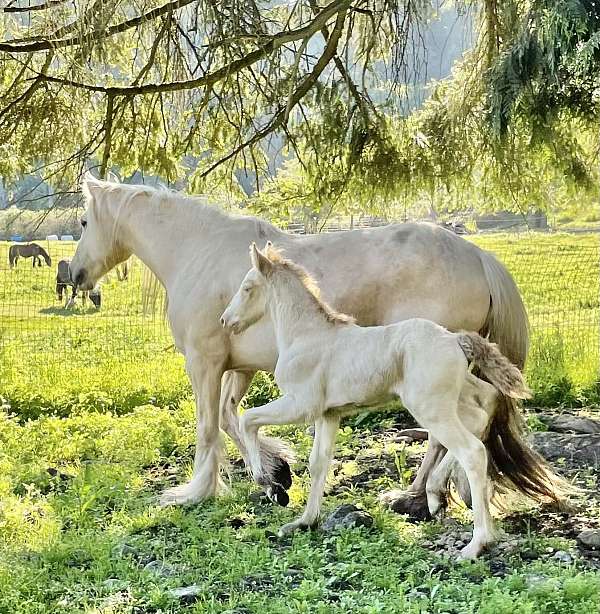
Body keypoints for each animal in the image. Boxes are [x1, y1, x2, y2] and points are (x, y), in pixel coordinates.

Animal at [68, 177, 528, 510]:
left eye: (85, 223)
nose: (74, 274)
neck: (198, 252)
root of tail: (477, 256)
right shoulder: (240, 367)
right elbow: (232, 418)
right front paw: (274, 479)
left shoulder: (205, 363)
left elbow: (209, 426)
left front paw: (197, 491)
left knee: (444, 434)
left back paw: (417, 495)